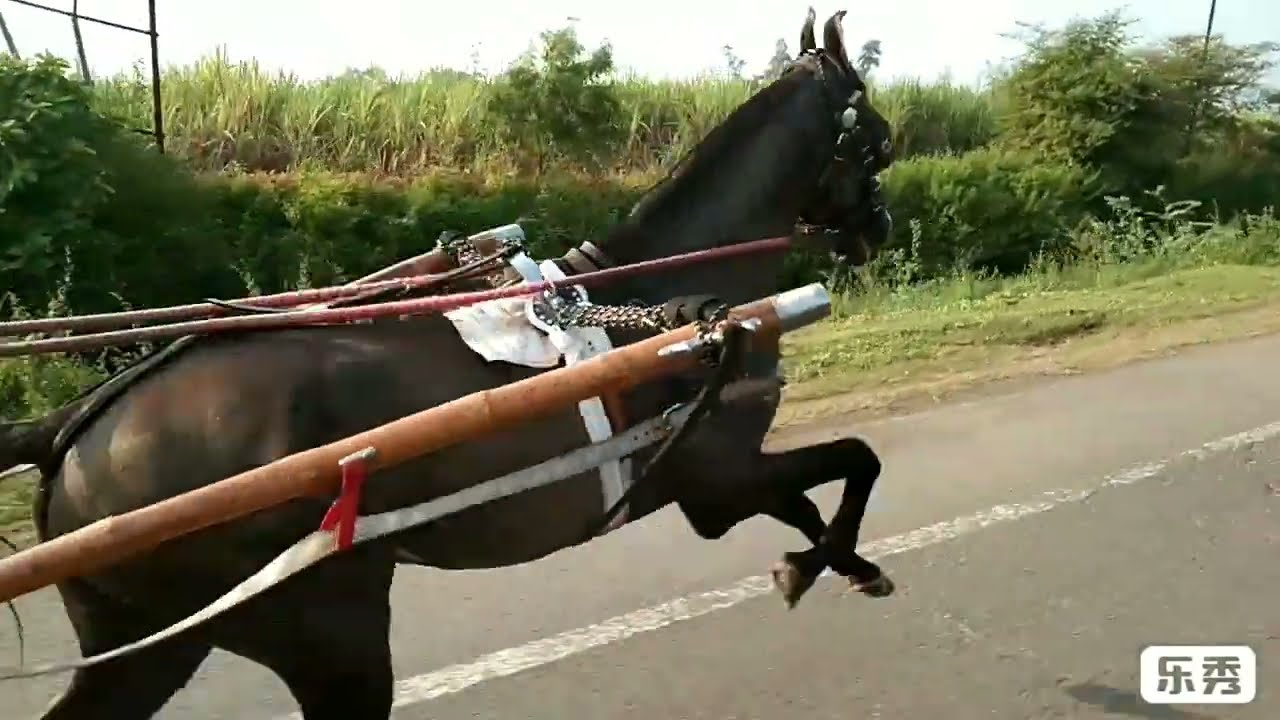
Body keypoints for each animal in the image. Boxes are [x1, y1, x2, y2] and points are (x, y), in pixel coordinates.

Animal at [0, 9, 897, 718]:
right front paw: (813, 566)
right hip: (325, 630)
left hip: (152, 642)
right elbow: (856, 462)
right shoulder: (717, 478)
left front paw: (837, 564)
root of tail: (74, 426)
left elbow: (815, 497)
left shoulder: (719, 476)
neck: (659, 302)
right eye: (879, 142)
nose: (880, 228)